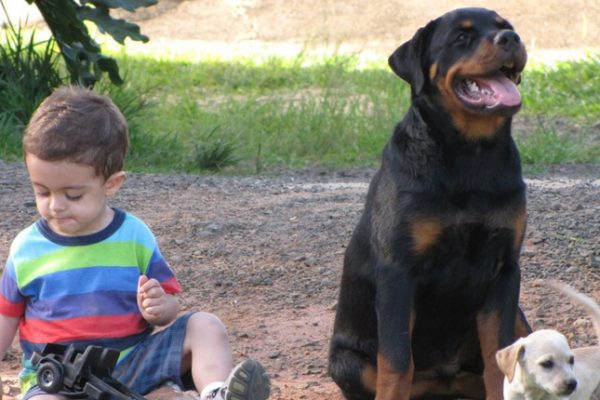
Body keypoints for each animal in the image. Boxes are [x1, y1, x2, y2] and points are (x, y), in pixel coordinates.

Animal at [330, 7, 532, 400]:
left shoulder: (504, 269)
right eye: (461, 37)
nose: (511, 39)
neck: (472, 155)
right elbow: (396, 362)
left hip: (518, 313)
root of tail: (442, 381)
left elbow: (498, 356)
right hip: (348, 363)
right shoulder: (398, 272)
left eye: (507, 28)